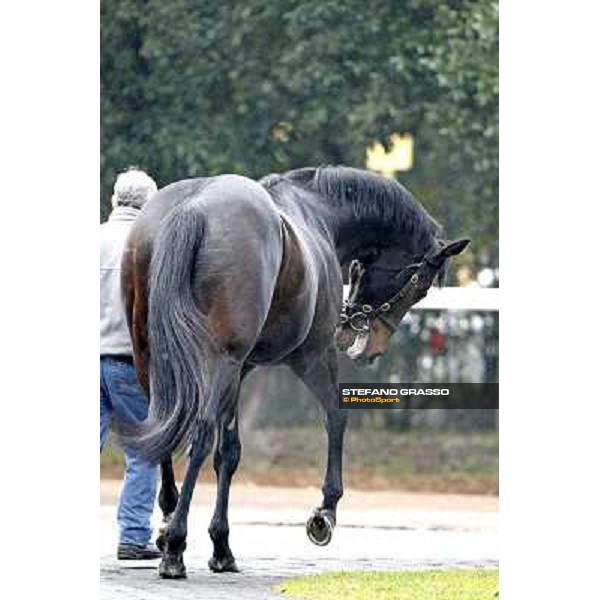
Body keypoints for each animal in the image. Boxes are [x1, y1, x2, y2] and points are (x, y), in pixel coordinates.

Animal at [122, 165, 466, 576]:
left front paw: (221, 544)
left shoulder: (241, 372)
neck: (318, 213)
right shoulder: (312, 357)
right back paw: (174, 545)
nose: (366, 344)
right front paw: (325, 512)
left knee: (162, 427)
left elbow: (229, 454)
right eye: (419, 286)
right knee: (199, 435)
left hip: (153, 358)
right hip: (220, 363)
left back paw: (168, 526)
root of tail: (195, 207)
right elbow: (336, 416)